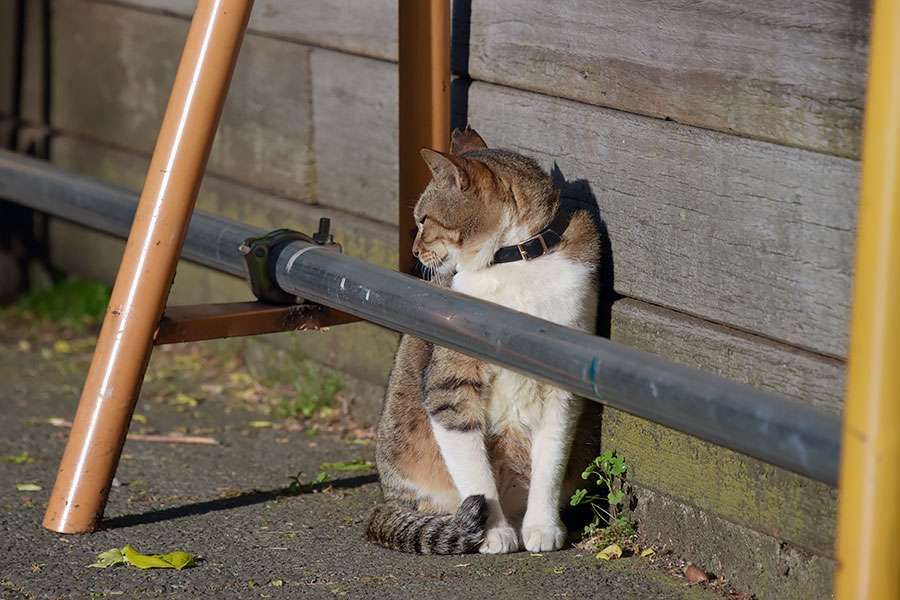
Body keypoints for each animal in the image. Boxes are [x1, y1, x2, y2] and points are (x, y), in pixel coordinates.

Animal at [362, 126, 600, 552]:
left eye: (424, 220)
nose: (414, 250)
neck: (516, 259)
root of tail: (386, 500)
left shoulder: (564, 388)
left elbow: (550, 461)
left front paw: (543, 527)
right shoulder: (450, 386)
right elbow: (476, 474)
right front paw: (493, 533)